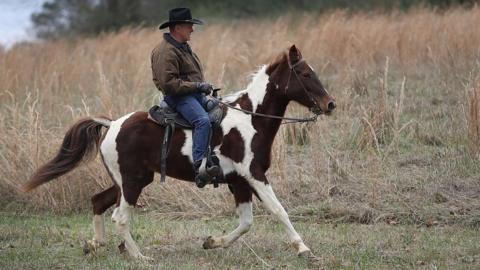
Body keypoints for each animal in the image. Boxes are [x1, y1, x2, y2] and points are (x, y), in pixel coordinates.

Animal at [21, 45, 334, 260]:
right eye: (305, 73)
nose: (330, 104)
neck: (251, 118)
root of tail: (111, 124)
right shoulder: (254, 175)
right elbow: (279, 210)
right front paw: (303, 248)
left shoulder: (239, 182)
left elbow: (245, 223)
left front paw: (212, 242)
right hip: (132, 182)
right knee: (120, 217)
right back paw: (140, 257)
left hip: (129, 181)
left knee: (99, 201)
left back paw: (95, 244)